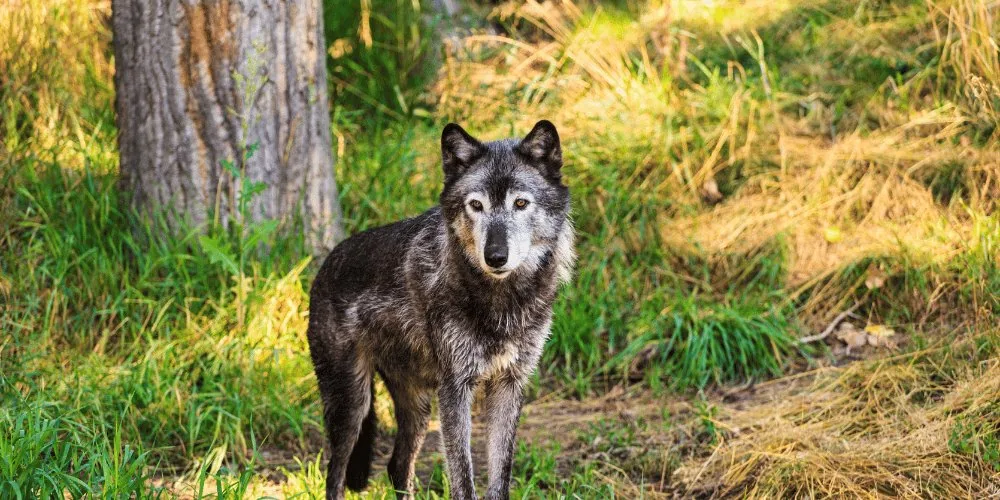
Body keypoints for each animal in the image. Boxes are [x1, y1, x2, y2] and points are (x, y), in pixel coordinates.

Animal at [307, 120, 575, 500]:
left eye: (521, 203)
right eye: (475, 205)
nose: (496, 256)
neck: (502, 302)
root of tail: (325, 266)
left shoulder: (509, 385)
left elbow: (500, 480)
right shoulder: (455, 388)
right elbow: (462, 479)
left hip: (417, 404)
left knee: (397, 466)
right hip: (352, 404)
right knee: (335, 474)